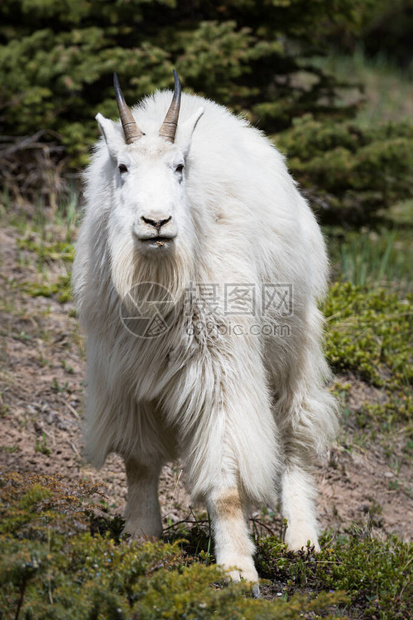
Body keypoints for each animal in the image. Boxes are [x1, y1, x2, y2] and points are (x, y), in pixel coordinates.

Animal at [73, 70, 338, 584]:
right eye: (122, 167)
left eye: (179, 167)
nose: (157, 222)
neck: (157, 282)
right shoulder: (124, 374)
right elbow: (139, 460)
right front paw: (140, 537)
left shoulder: (220, 368)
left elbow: (227, 476)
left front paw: (237, 567)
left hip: (293, 343)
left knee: (294, 433)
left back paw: (302, 540)